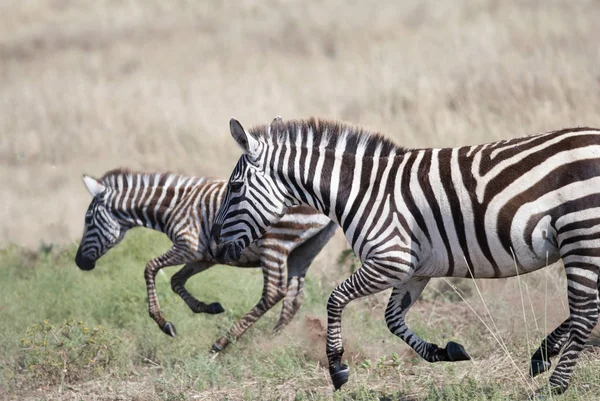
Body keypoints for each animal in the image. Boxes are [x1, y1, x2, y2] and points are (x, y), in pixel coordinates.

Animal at [74, 166, 338, 350]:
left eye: (88, 220)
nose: (79, 263)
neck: (173, 206)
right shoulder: (203, 257)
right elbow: (176, 281)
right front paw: (209, 307)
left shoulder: (187, 246)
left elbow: (150, 268)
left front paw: (164, 323)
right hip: (305, 250)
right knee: (294, 297)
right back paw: (272, 339)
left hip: (274, 244)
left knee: (274, 292)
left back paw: (225, 342)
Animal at [210, 117, 600, 396]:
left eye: (235, 187)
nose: (214, 244)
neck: (361, 192)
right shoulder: (413, 270)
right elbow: (393, 319)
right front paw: (444, 352)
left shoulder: (390, 259)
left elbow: (336, 299)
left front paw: (337, 369)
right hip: (585, 238)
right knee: (589, 311)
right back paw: (543, 355)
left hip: (580, 230)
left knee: (586, 314)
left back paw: (554, 386)